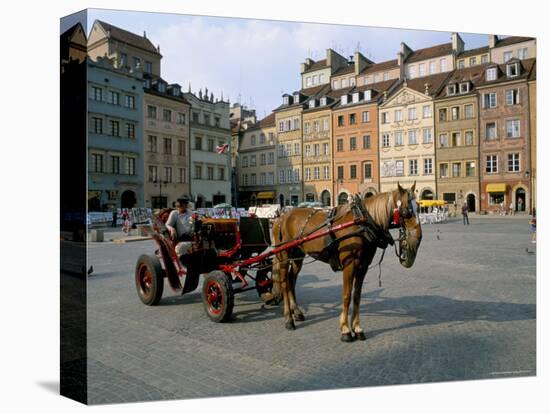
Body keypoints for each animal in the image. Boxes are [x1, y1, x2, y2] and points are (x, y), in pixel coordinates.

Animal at [274, 183, 424, 342]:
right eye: (407, 211)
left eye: (418, 207)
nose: (419, 237)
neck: (362, 222)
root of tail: (282, 217)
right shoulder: (349, 265)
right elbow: (346, 296)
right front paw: (345, 329)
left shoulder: (363, 267)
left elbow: (357, 296)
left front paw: (357, 328)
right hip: (284, 257)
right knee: (284, 284)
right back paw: (288, 319)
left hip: (298, 257)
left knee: (291, 280)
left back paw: (296, 312)